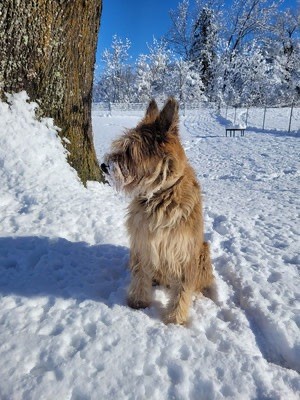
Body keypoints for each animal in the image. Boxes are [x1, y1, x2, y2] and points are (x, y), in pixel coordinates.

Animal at [102, 97, 214, 324]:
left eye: (130, 150)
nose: (104, 166)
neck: (160, 194)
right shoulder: (142, 243)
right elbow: (140, 274)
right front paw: (138, 302)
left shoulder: (184, 250)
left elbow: (182, 289)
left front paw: (175, 319)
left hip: (203, 251)